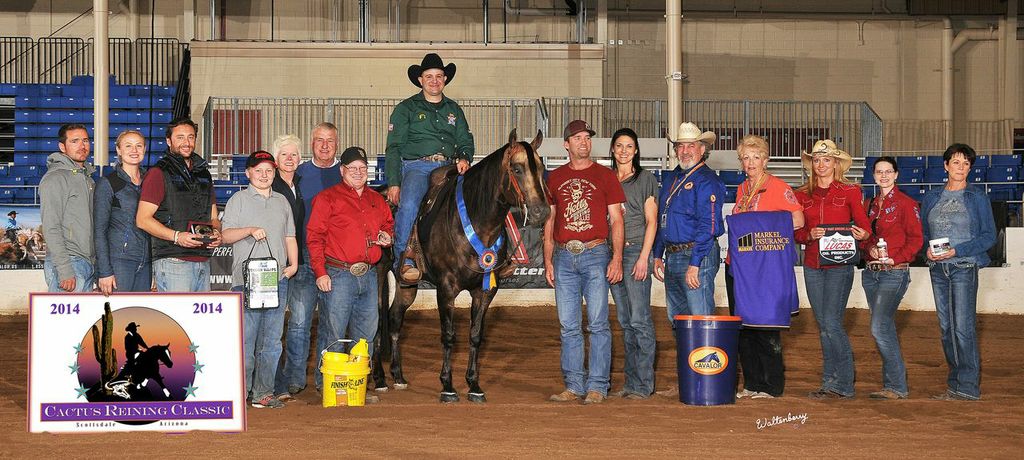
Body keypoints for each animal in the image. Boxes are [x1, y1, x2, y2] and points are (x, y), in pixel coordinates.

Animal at [372, 129, 550, 403]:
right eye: (517, 168)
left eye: (541, 168)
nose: (542, 212)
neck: (475, 222)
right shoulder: (446, 288)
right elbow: (449, 335)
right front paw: (448, 385)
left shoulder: (485, 290)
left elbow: (475, 335)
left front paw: (474, 385)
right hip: (378, 272)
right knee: (378, 321)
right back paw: (380, 379)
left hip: (407, 284)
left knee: (394, 318)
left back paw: (398, 376)